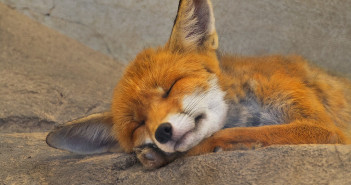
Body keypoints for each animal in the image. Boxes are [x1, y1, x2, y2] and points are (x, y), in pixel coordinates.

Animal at [46, 0, 351, 168]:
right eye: (138, 124)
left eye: (171, 86)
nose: (162, 132)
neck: (247, 108)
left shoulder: (326, 129)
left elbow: (225, 135)